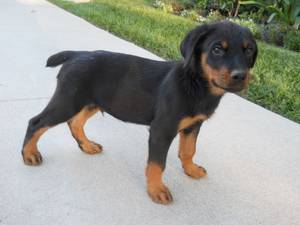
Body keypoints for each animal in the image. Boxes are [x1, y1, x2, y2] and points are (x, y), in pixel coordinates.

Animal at [22, 21, 258, 204]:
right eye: (217, 49)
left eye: (248, 51)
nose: (240, 76)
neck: (197, 85)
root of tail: (76, 54)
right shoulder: (162, 129)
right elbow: (157, 164)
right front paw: (157, 190)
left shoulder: (193, 125)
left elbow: (188, 150)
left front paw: (191, 169)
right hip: (69, 101)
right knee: (36, 122)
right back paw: (29, 154)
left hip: (91, 102)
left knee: (75, 123)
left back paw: (87, 146)